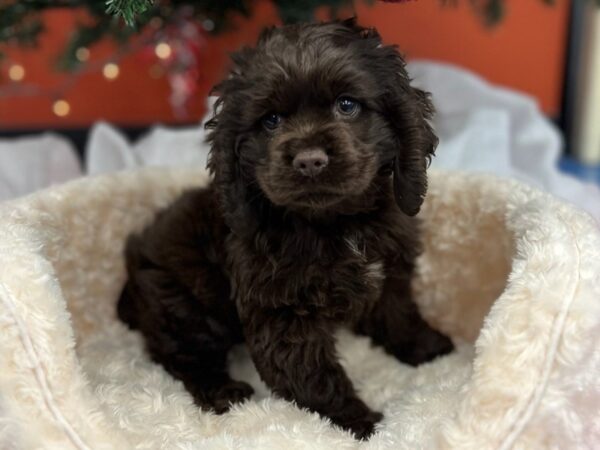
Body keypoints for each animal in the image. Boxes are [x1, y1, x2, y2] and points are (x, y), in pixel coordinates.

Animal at [119, 18, 452, 440]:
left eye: (347, 105)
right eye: (271, 121)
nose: (309, 161)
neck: (337, 223)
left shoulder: (389, 272)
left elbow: (399, 313)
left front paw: (428, 348)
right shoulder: (282, 312)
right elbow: (313, 374)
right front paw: (358, 424)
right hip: (180, 304)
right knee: (183, 354)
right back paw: (224, 392)